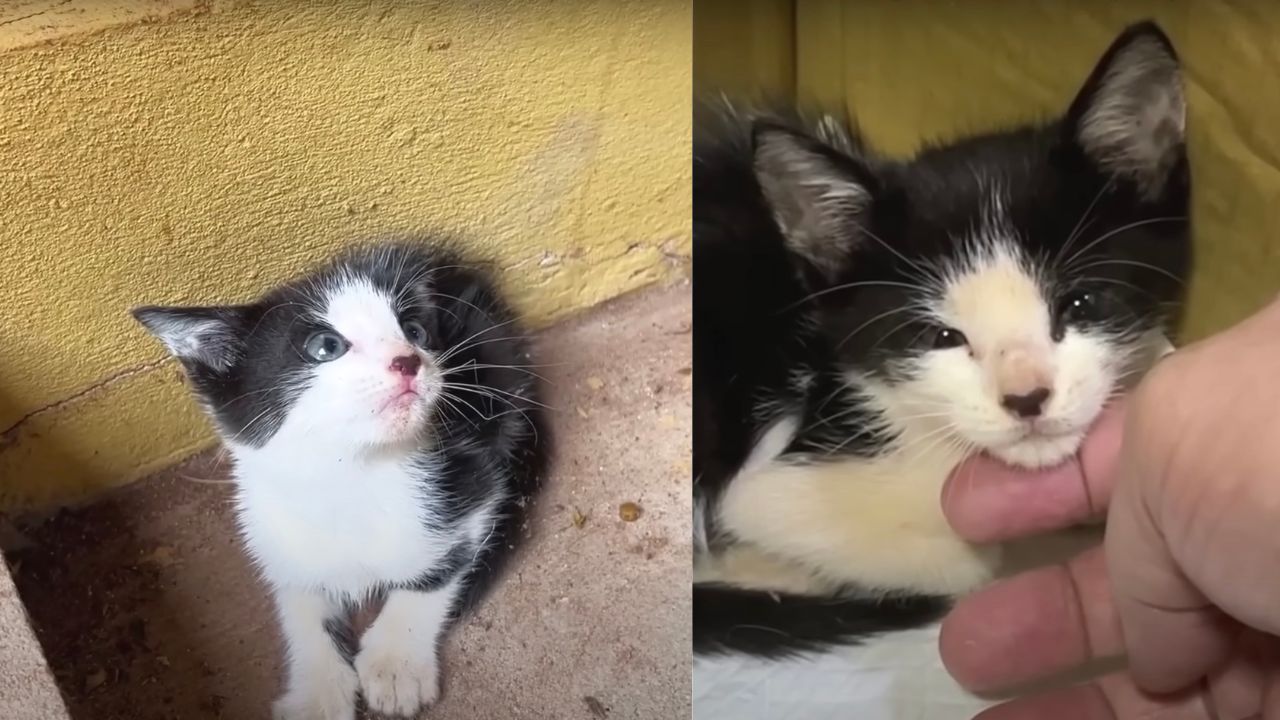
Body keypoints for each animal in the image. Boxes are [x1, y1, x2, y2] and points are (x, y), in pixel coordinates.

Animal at [131, 240, 550, 717]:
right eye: (326, 346)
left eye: (415, 332)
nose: (408, 361)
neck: (350, 475)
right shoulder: (275, 534)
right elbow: (301, 606)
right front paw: (316, 692)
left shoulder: (476, 483)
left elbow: (437, 573)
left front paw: (395, 663)